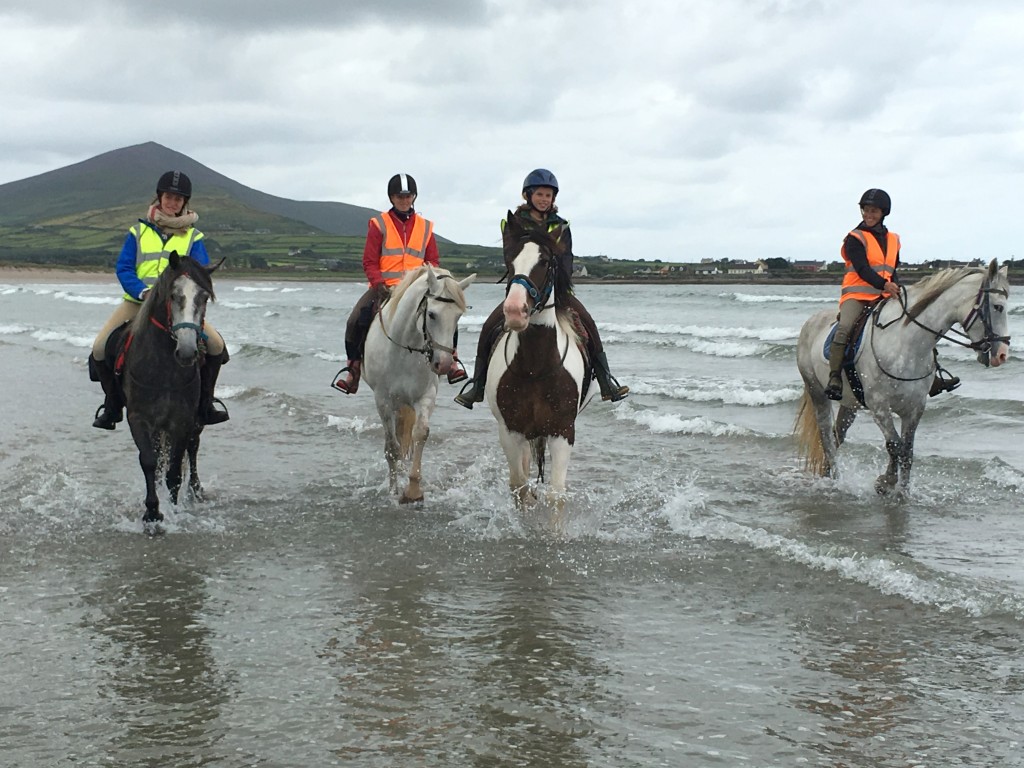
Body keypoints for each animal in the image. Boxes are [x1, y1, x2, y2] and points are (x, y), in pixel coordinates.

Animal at [120, 252, 223, 524]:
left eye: (204, 297)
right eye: (174, 295)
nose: (187, 352)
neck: (164, 369)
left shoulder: (182, 420)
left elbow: (175, 470)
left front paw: (173, 510)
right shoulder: (139, 418)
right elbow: (149, 461)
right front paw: (152, 512)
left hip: (196, 418)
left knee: (193, 448)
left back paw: (196, 491)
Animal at [360, 264, 475, 505]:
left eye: (458, 316)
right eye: (432, 314)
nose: (443, 364)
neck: (405, 347)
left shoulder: (425, 396)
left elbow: (420, 433)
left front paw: (413, 490)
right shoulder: (383, 400)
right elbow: (392, 448)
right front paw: (394, 491)